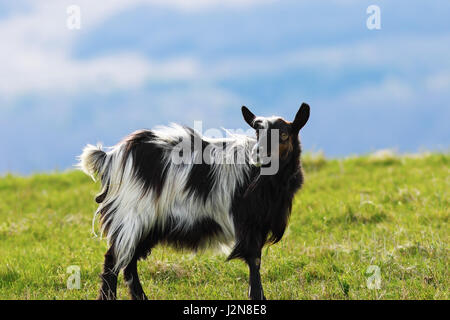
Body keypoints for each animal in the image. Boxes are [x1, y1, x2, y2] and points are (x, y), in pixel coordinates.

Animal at [78, 103, 310, 300]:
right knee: (114, 259)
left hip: (148, 224)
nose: (258, 155)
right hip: (131, 215)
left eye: (284, 134)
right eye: (257, 132)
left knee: (129, 261)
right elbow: (254, 261)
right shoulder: (248, 224)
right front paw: (257, 297)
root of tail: (111, 157)